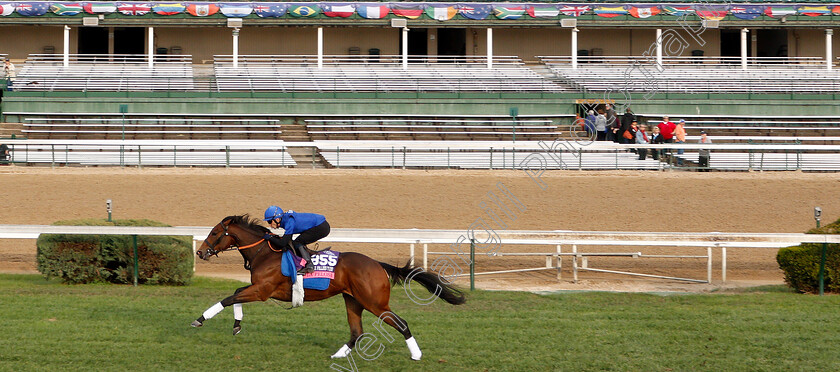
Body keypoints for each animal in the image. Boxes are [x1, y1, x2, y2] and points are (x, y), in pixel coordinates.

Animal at [191, 215, 466, 360]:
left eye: (214, 233)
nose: (200, 252)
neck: (264, 253)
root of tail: (377, 264)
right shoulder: (258, 289)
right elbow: (235, 295)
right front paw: (237, 325)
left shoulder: (262, 291)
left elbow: (229, 297)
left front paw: (200, 319)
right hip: (353, 300)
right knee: (357, 332)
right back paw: (338, 355)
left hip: (375, 303)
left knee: (401, 323)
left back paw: (416, 354)